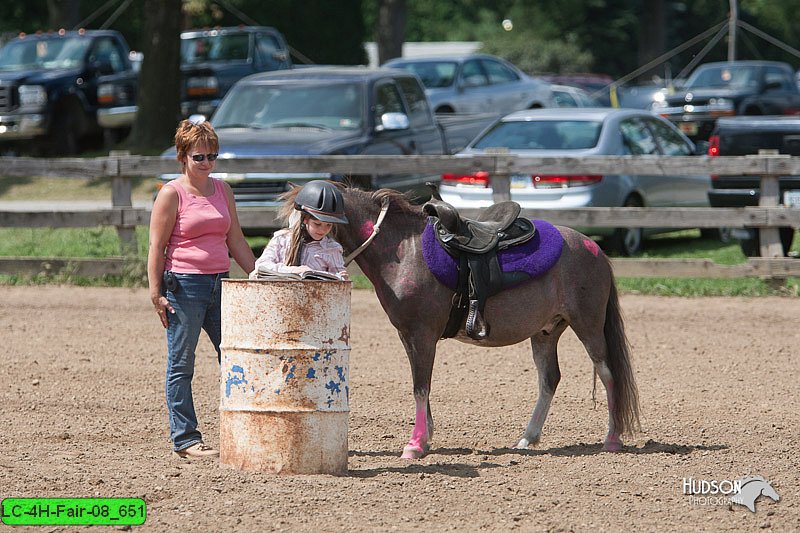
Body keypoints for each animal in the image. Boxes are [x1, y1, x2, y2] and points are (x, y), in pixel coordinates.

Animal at [332, 186, 636, 458]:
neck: (406, 250)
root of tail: (594, 248)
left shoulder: (423, 335)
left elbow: (420, 387)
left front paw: (415, 445)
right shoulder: (407, 335)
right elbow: (420, 385)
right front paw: (425, 438)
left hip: (589, 326)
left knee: (609, 375)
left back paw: (612, 439)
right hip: (545, 332)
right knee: (549, 378)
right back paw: (527, 438)